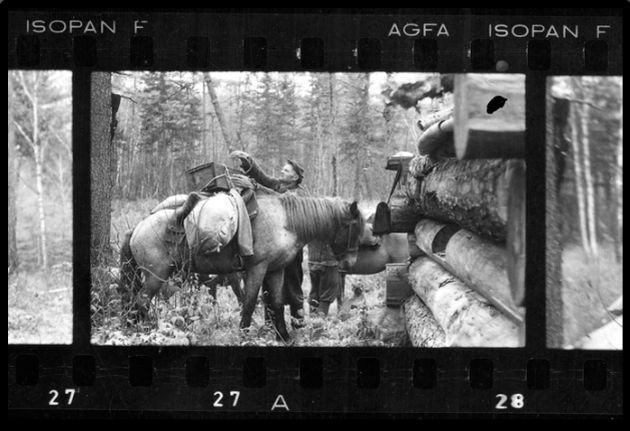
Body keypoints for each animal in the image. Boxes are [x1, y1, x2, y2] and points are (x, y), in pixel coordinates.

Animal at [119, 192, 366, 340]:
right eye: (354, 226)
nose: (350, 263)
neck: (286, 222)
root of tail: (138, 227)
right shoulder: (257, 268)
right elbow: (249, 302)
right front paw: (244, 335)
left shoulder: (275, 270)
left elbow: (276, 303)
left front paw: (283, 337)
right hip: (155, 276)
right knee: (141, 301)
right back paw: (147, 330)